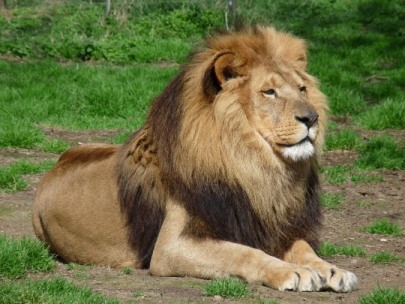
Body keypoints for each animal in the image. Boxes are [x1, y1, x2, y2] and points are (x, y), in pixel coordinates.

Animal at [34, 26, 356, 292]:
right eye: (269, 92)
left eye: (302, 88)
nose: (311, 118)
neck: (254, 167)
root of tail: (56, 163)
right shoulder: (170, 247)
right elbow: (243, 253)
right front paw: (292, 272)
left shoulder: (272, 225)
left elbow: (304, 248)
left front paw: (332, 270)